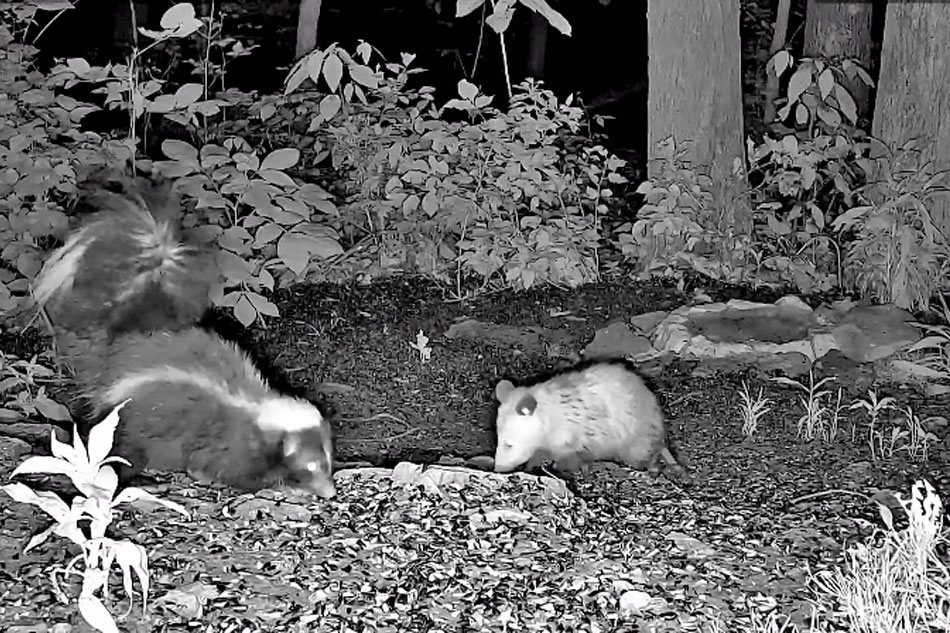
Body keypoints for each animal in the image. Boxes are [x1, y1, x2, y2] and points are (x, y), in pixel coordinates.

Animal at [36, 170, 338, 496]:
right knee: (124, 450)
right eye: (309, 466)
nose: (330, 492)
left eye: (328, 461)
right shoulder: (230, 441)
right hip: (129, 418)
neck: (259, 411)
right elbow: (233, 469)